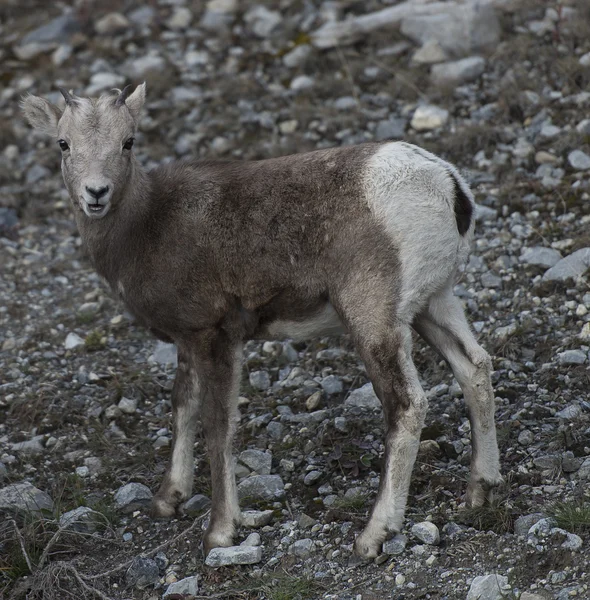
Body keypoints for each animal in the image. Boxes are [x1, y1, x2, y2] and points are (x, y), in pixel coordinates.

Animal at [24, 83, 504, 556]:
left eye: (128, 141)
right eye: (63, 143)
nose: (96, 193)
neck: (146, 226)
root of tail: (448, 186)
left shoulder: (216, 336)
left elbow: (218, 426)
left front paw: (220, 532)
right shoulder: (188, 340)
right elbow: (183, 407)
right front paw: (167, 500)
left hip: (373, 318)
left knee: (406, 404)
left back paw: (373, 535)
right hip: (433, 305)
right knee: (474, 365)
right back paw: (479, 490)